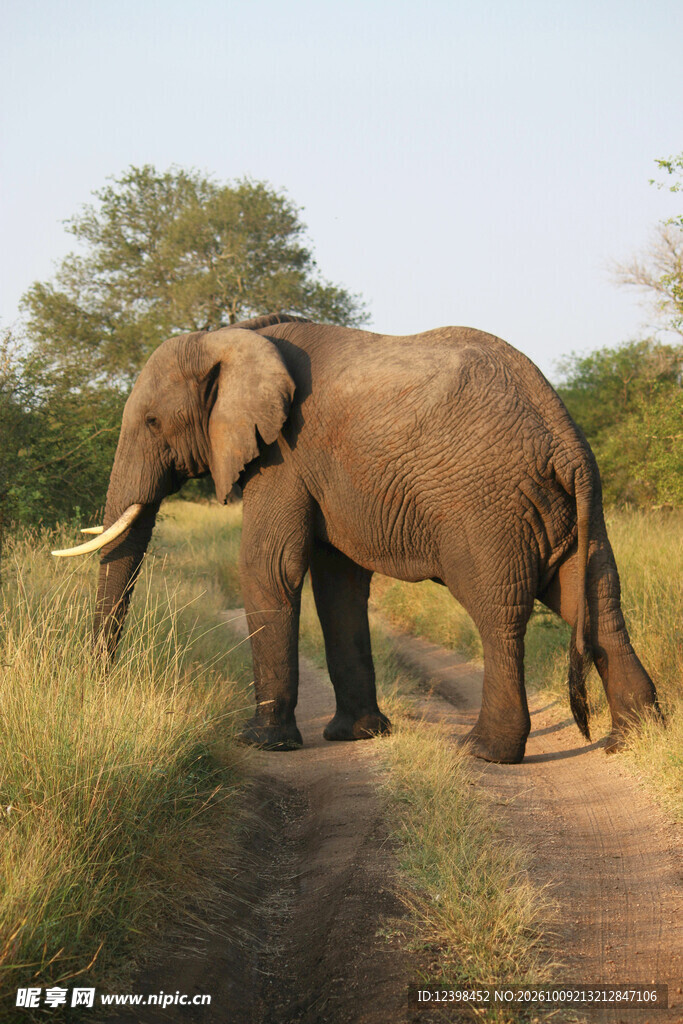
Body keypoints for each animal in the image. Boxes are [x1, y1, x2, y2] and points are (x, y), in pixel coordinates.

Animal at [54, 313, 659, 764]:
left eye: (153, 423)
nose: (98, 689)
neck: (235, 334)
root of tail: (565, 437)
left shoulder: (285, 454)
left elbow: (268, 565)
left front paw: (261, 743)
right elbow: (336, 582)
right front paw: (357, 735)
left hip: (487, 507)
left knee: (498, 613)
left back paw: (485, 752)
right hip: (568, 510)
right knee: (596, 603)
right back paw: (632, 740)